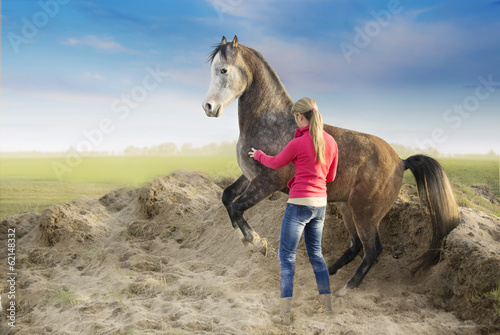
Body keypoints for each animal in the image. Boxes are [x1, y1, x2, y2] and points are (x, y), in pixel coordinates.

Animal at [201, 35, 458, 296]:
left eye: (224, 70)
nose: (208, 107)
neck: (271, 123)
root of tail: (401, 162)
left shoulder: (267, 183)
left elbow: (237, 207)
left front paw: (257, 243)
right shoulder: (250, 177)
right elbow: (227, 197)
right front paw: (244, 238)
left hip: (365, 214)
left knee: (373, 249)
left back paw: (347, 287)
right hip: (347, 208)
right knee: (355, 245)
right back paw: (329, 272)